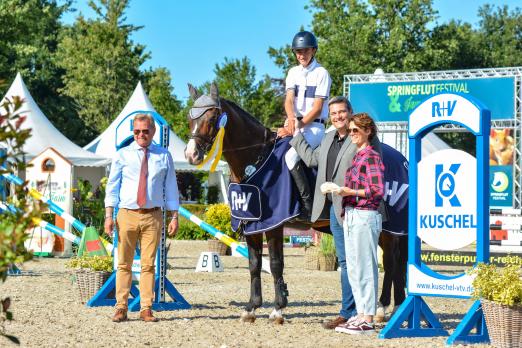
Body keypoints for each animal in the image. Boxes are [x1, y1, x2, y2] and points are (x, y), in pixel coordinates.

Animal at [184, 82, 288, 324]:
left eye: (213, 119)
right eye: (190, 118)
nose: (191, 154)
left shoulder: (275, 223)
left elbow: (275, 263)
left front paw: (278, 309)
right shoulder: (251, 223)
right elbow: (254, 264)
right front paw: (251, 307)